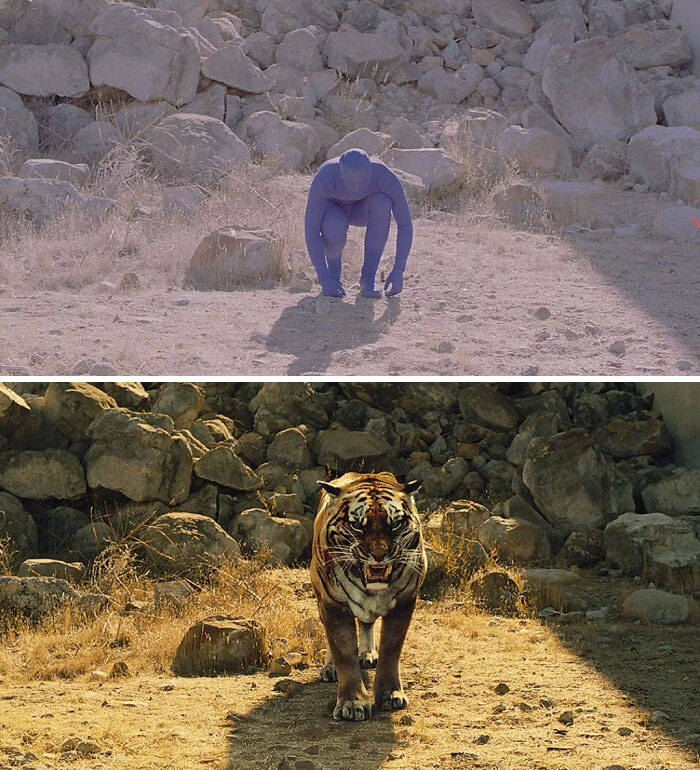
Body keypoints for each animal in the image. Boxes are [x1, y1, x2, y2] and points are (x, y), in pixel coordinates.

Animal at [310, 471, 427, 722]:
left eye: (395, 525)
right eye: (357, 526)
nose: (379, 555)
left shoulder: (404, 601)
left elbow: (391, 649)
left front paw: (390, 695)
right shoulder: (333, 605)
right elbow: (343, 653)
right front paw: (352, 703)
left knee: (366, 623)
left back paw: (367, 654)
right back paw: (330, 668)